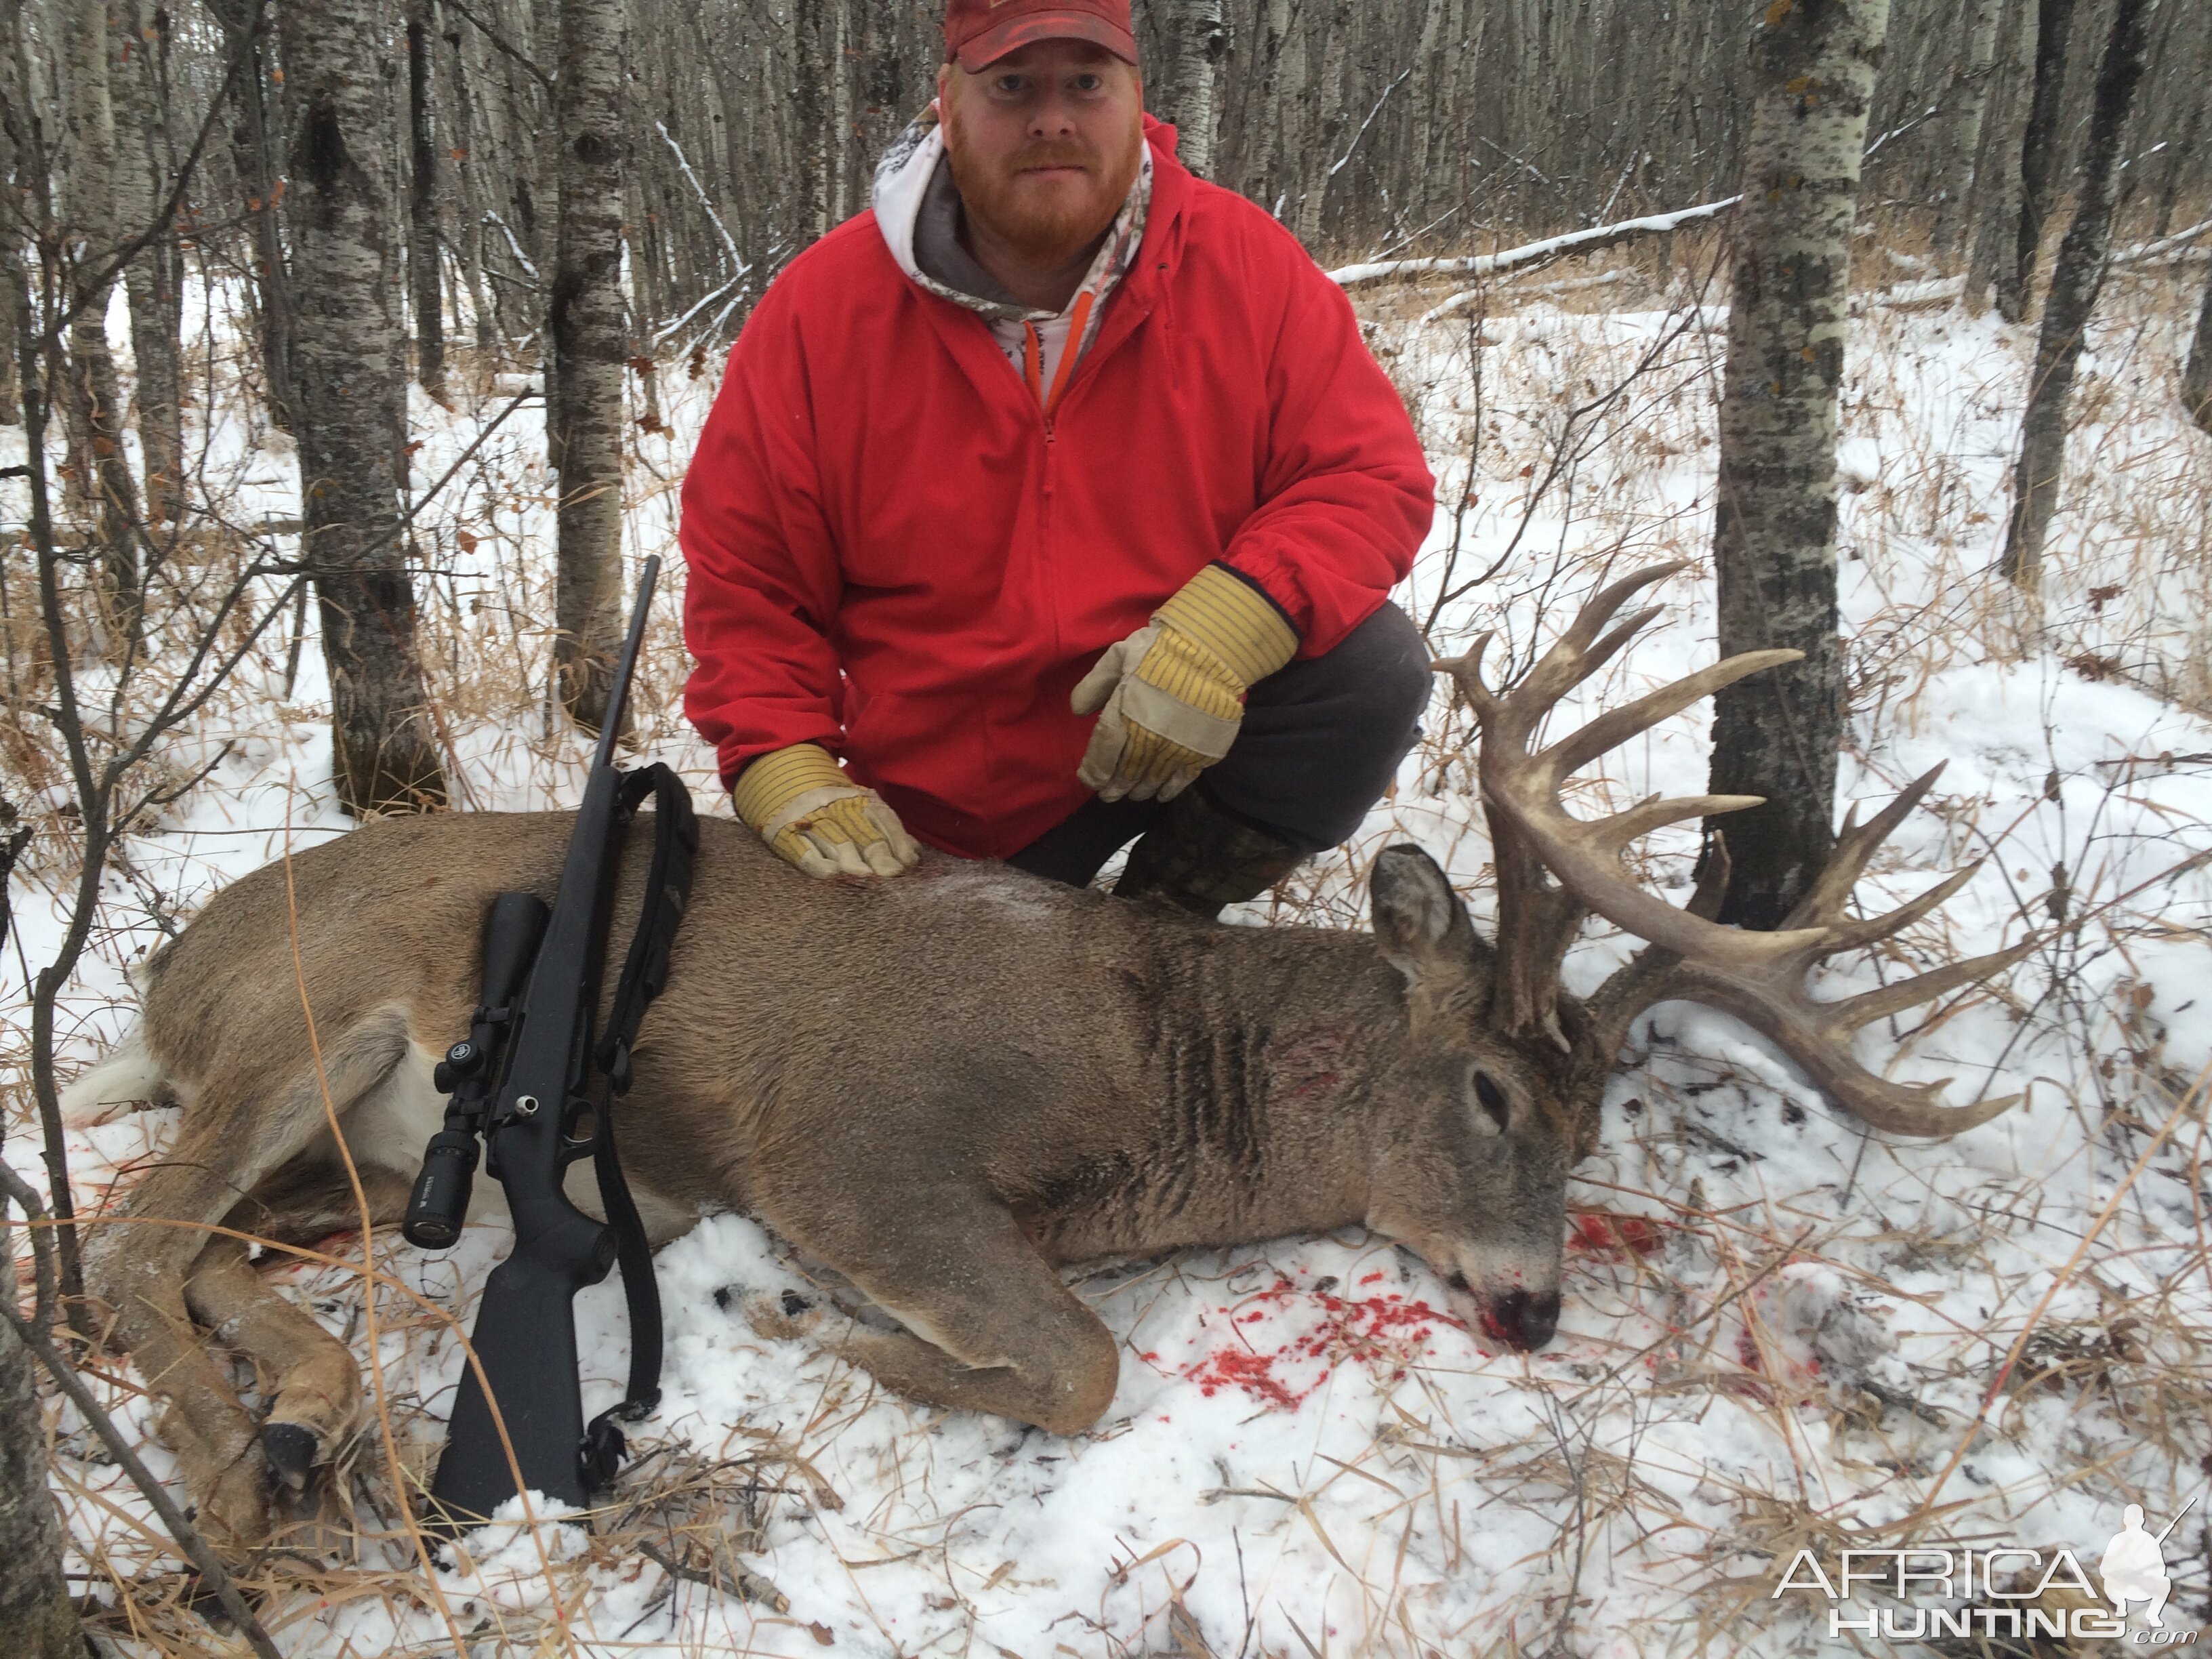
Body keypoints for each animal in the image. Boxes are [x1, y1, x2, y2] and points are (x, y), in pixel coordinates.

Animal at [60, 566, 2026, 1557]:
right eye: (1488, 1092)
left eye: (1599, 1118)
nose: (1536, 1306)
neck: (1163, 1079)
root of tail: (161, 974)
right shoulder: (850, 1142)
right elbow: (1078, 1363)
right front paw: (802, 1319)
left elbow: (1072, 1354)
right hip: (311, 1014)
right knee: (124, 1237)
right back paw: (241, 1471)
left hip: (370, 1159)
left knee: (210, 1245)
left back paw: (312, 1404)